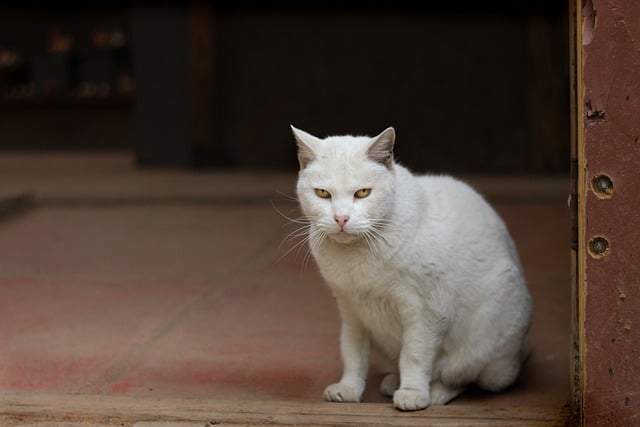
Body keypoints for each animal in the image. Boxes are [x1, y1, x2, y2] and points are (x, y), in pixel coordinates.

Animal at [292, 126, 532, 412]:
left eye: (362, 193)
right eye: (322, 194)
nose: (341, 218)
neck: (357, 257)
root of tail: (519, 355)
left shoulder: (424, 312)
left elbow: (414, 355)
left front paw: (412, 392)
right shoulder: (351, 311)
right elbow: (352, 353)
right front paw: (348, 388)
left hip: (483, 349)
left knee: (460, 377)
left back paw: (434, 392)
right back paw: (392, 381)